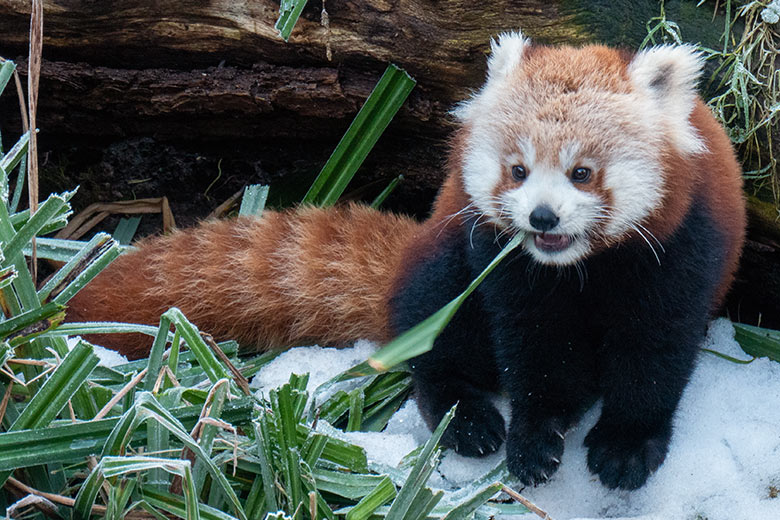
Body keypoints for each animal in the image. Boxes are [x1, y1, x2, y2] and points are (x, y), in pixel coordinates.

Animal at [65, 30, 744, 490]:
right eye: (518, 170)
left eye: (581, 172)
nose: (542, 219)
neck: (578, 266)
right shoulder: (505, 264)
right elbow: (536, 351)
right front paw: (534, 438)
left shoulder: (685, 247)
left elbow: (656, 349)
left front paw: (627, 445)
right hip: (443, 252)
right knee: (435, 324)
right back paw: (467, 418)